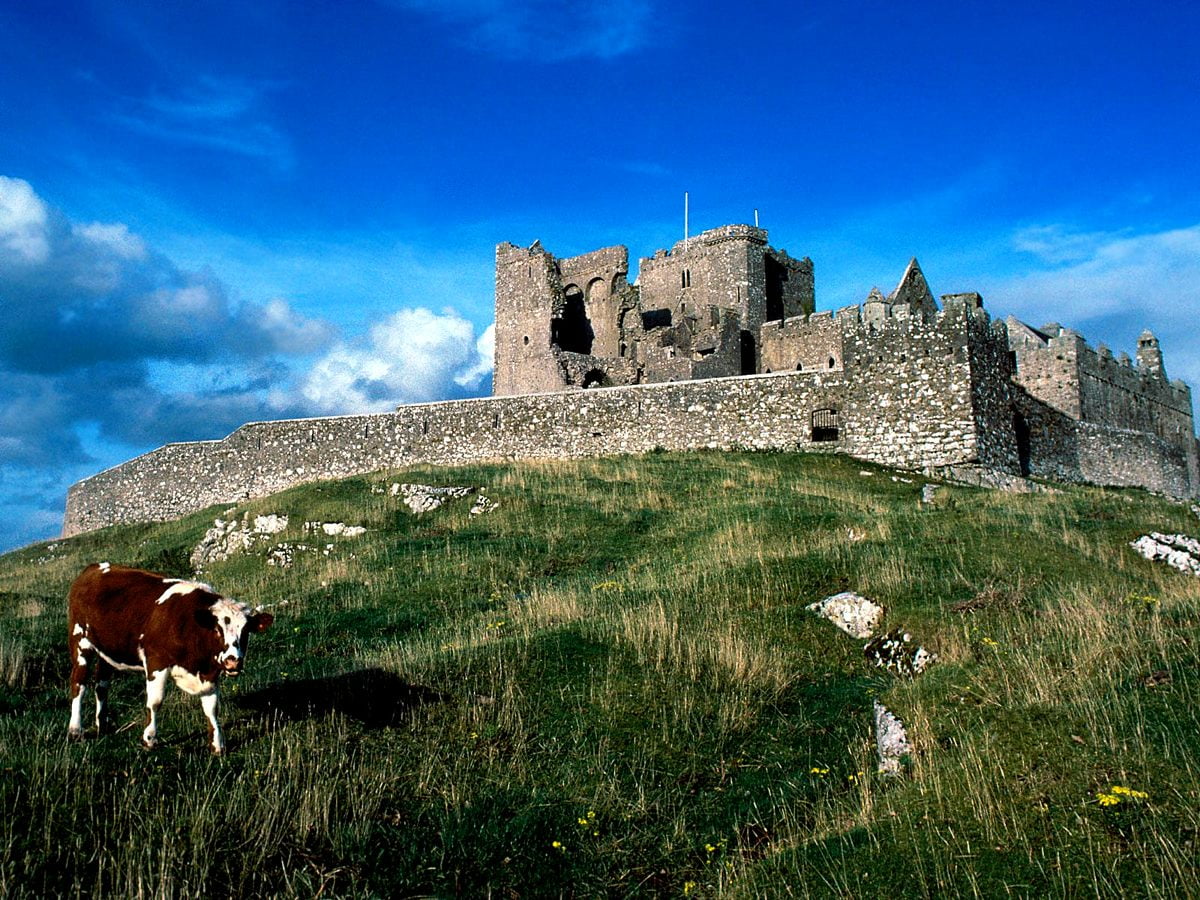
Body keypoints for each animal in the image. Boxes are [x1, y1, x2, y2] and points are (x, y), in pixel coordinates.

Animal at [67, 562, 273, 755]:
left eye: (246, 631)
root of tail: (94, 567)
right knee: (79, 684)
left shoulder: (210, 672)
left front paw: (217, 745)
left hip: (107, 650)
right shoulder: (156, 661)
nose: (233, 660)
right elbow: (155, 701)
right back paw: (75, 730)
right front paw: (149, 739)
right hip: (80, 642)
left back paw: (102, 724)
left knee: (101, 685)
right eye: (216, 630)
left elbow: (212, 707)